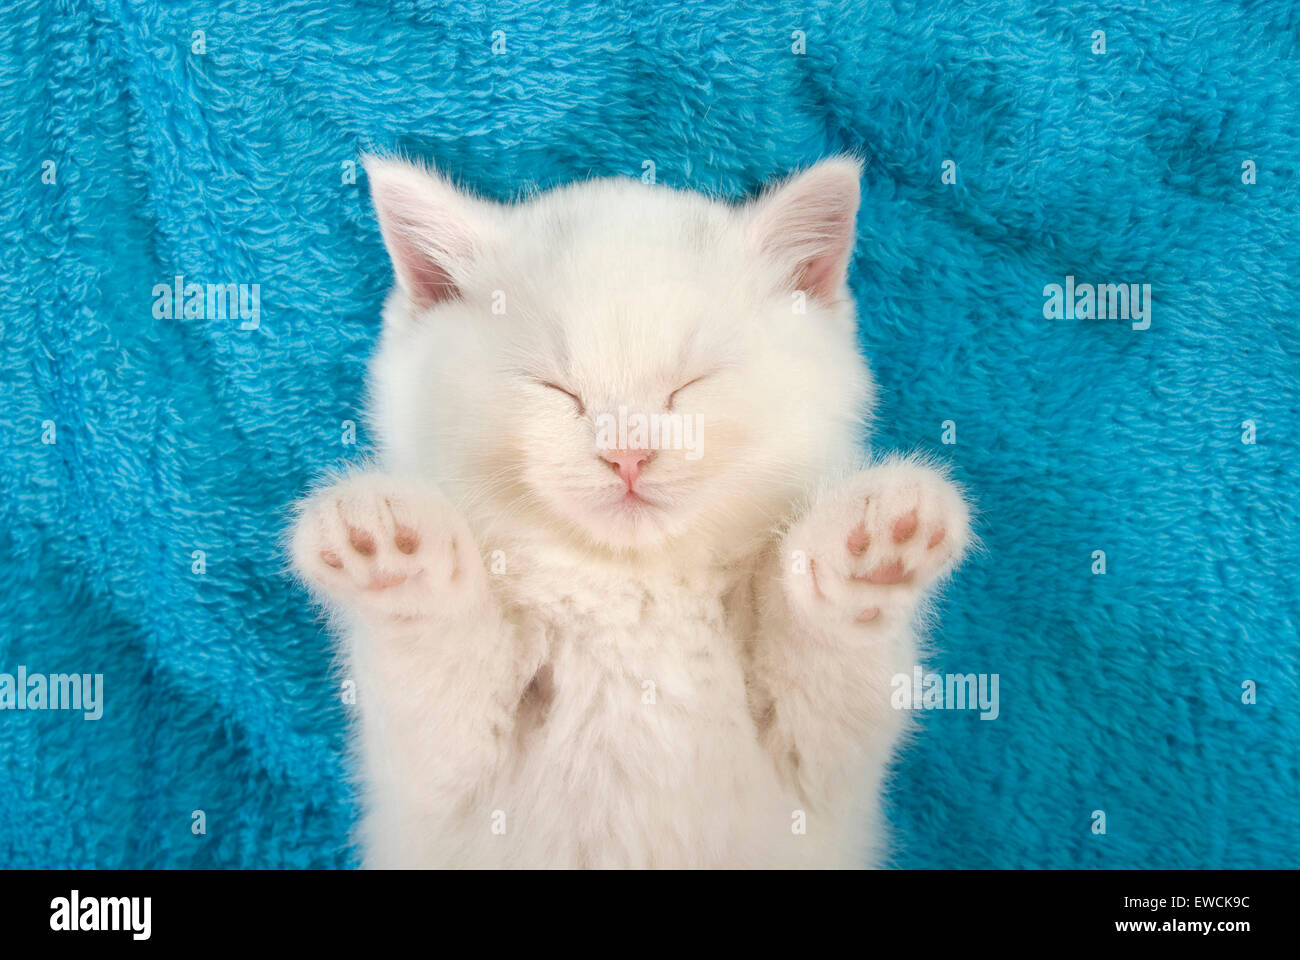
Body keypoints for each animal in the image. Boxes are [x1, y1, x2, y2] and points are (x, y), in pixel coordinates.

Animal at [292, 157, 967, 868]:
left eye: (689, 384)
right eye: (556, 388)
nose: (627, 453)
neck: (631, 595)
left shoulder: (816, 776)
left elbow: (828, 696)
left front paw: (867, 548)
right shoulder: (439, 786)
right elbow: (440, 694)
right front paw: (400, 561)